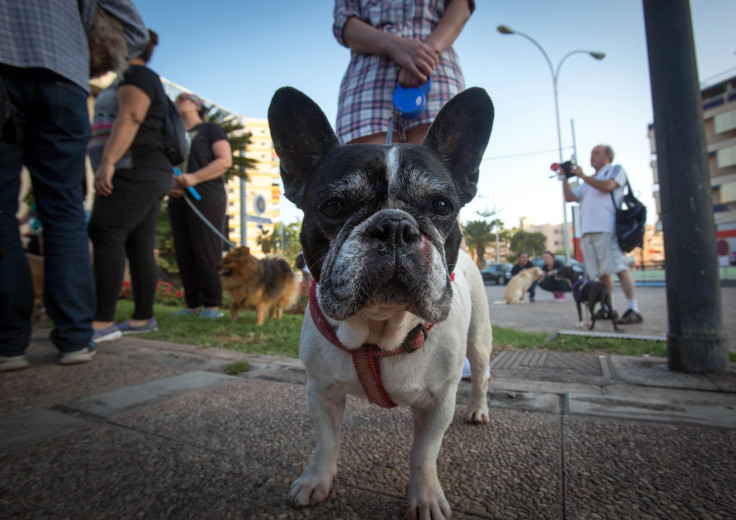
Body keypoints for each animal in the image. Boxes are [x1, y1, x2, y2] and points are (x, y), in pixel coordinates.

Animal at [266, 86, 494, 520]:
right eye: (334, 207)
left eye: (442, 207)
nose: (395, 226)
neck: (381, 329)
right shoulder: (320, 390)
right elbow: (327, 442)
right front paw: (316, 480)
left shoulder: (439, 402)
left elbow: (424, 454)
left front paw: (425, 498)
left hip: (480, 341)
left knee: (481, 374)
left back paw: (478, 409)